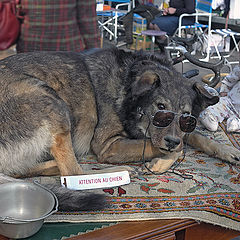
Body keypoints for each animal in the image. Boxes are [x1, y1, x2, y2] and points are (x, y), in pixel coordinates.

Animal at [0, 48, 240, 210]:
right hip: (52, 102)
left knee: (28, 171)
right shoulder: (109, 145)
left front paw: (228, 151)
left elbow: (194, 137)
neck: (128, 86)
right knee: (73, 174)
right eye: (161, 108)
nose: (171, 141)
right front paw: (159, 163)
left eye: (187, 117)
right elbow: (169, 147)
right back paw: (115, 172)